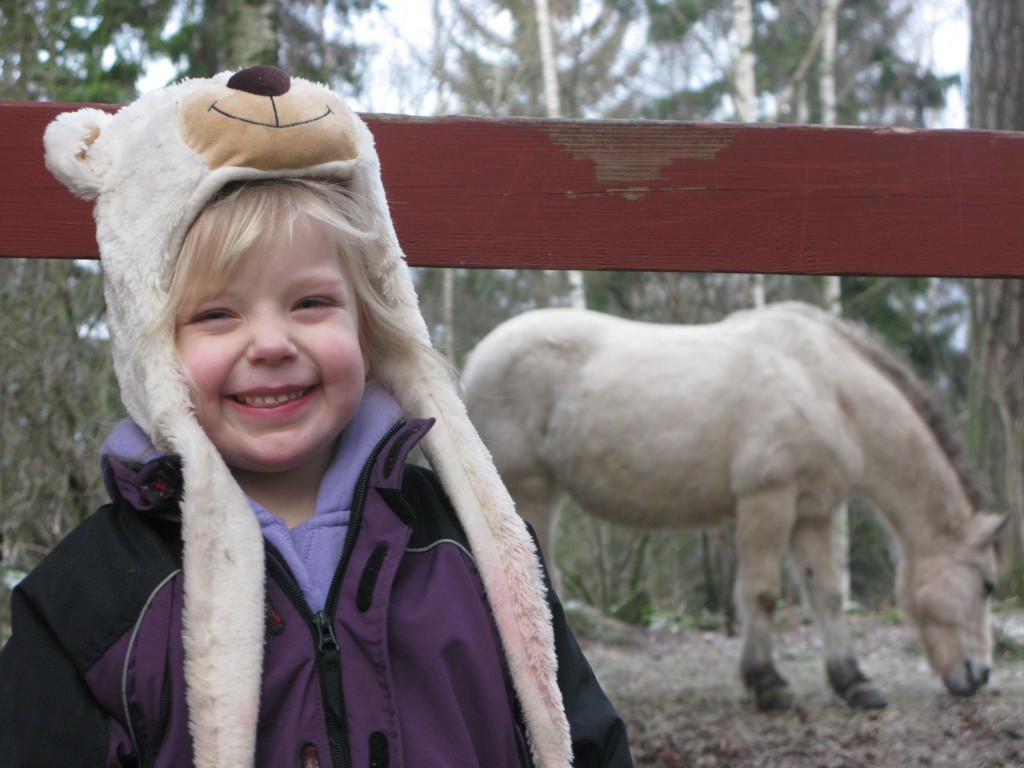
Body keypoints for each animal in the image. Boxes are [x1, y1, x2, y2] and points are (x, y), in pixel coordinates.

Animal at [464, 303, 1007, 712]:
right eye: (987, 586)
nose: (980, 675)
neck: (826, 385)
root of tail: (476, 359)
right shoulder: (768, 500)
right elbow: (762, 594)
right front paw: (768, 684)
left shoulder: (811, 512)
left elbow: (826, 595)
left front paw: (853, 681)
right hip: (532, 492)